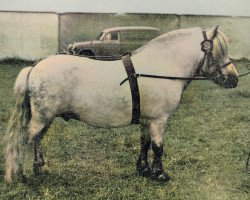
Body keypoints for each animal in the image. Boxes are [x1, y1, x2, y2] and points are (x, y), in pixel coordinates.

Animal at [4, 26, 238, 183]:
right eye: (219, 51)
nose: (234, 79)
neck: (160, 67)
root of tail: (35, 68)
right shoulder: (159, 120)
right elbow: (158, 147)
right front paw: (160, 174)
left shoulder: (147, 120)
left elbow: (145, 143)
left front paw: (144, 170)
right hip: (42, 117)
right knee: (26, 140)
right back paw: (22, 174)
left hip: (46, 118)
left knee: (37, 139)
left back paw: (39, 168)